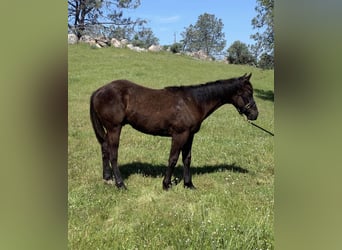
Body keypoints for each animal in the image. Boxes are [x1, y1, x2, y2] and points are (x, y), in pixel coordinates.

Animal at [89, 73, 258, 189]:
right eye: (248, 93)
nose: (255, 114)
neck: (193, 102)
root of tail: (99, 91)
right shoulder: (179, 135)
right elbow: (173, 159)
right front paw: (166, 184)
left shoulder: (190, 135)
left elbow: (187, 159)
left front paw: (188, 184)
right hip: (114, 128)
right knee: (113, 155)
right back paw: (120, 184)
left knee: (104, 149)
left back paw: (107, 178)